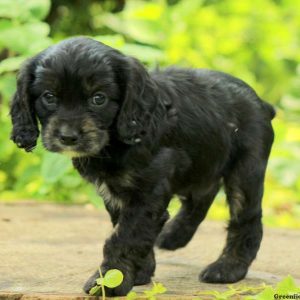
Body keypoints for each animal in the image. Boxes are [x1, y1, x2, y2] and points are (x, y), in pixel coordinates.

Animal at [9, 36, 274, 296]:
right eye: (49, 96)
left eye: (98, 98)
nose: (67, 137)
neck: (114, 142)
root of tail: (261, 102)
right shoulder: (116, 193)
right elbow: (130, 232)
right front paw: (140, 273)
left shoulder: (147, 192)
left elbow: (125, 237)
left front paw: (110, 281)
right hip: (203, 162)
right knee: (200, 199)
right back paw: (172, 236)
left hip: (245, 170)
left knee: (246, 219)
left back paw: (228, 268)